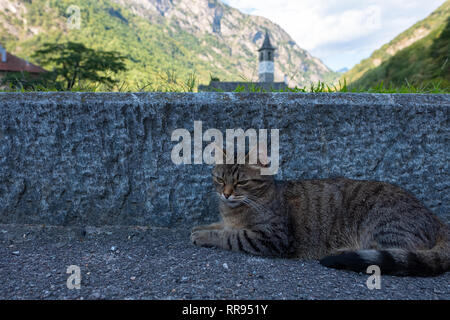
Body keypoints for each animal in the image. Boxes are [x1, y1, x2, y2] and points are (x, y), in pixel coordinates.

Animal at [192, 156, 450, 276]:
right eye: (220, 180)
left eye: (242, 183)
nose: (226, 194)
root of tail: (435, 218)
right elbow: (222, 226)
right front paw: (203, 227)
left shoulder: (272, 238)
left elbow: (231, 236)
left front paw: (204, 236)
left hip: (383, 226)